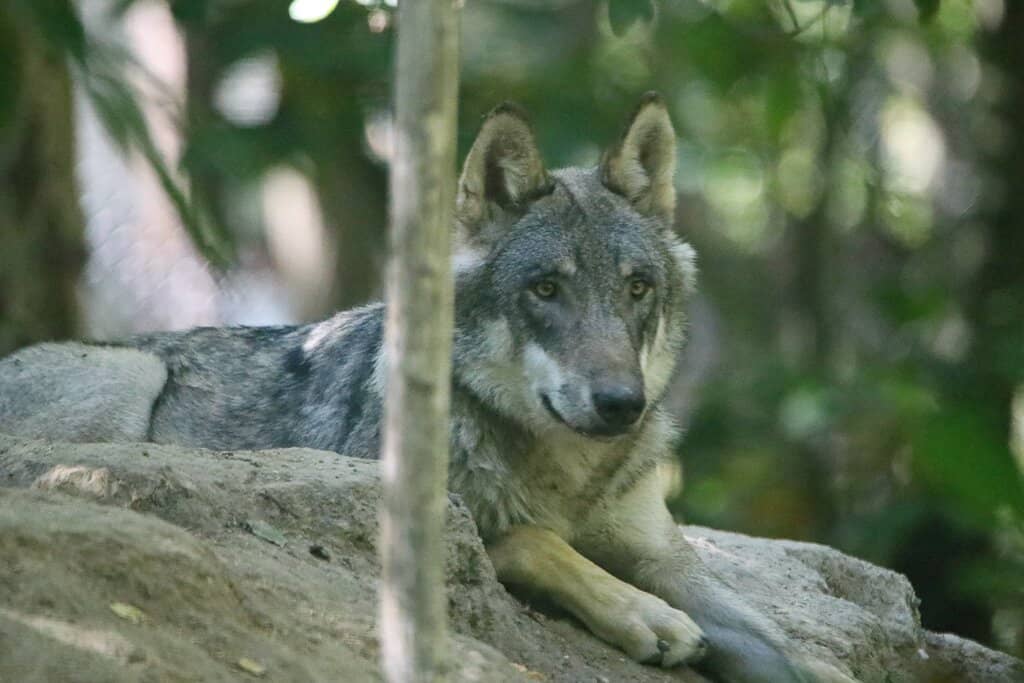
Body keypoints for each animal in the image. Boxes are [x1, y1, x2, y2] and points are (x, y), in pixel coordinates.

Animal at [0, 94, 853, 682]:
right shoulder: (448, 528)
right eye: (546, 289)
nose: (622, 404)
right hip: (131, 374)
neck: (564, 473)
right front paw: (645, 615)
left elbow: (773, 634)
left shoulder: (666, 555)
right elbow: (539, 540)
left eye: (637, 288)